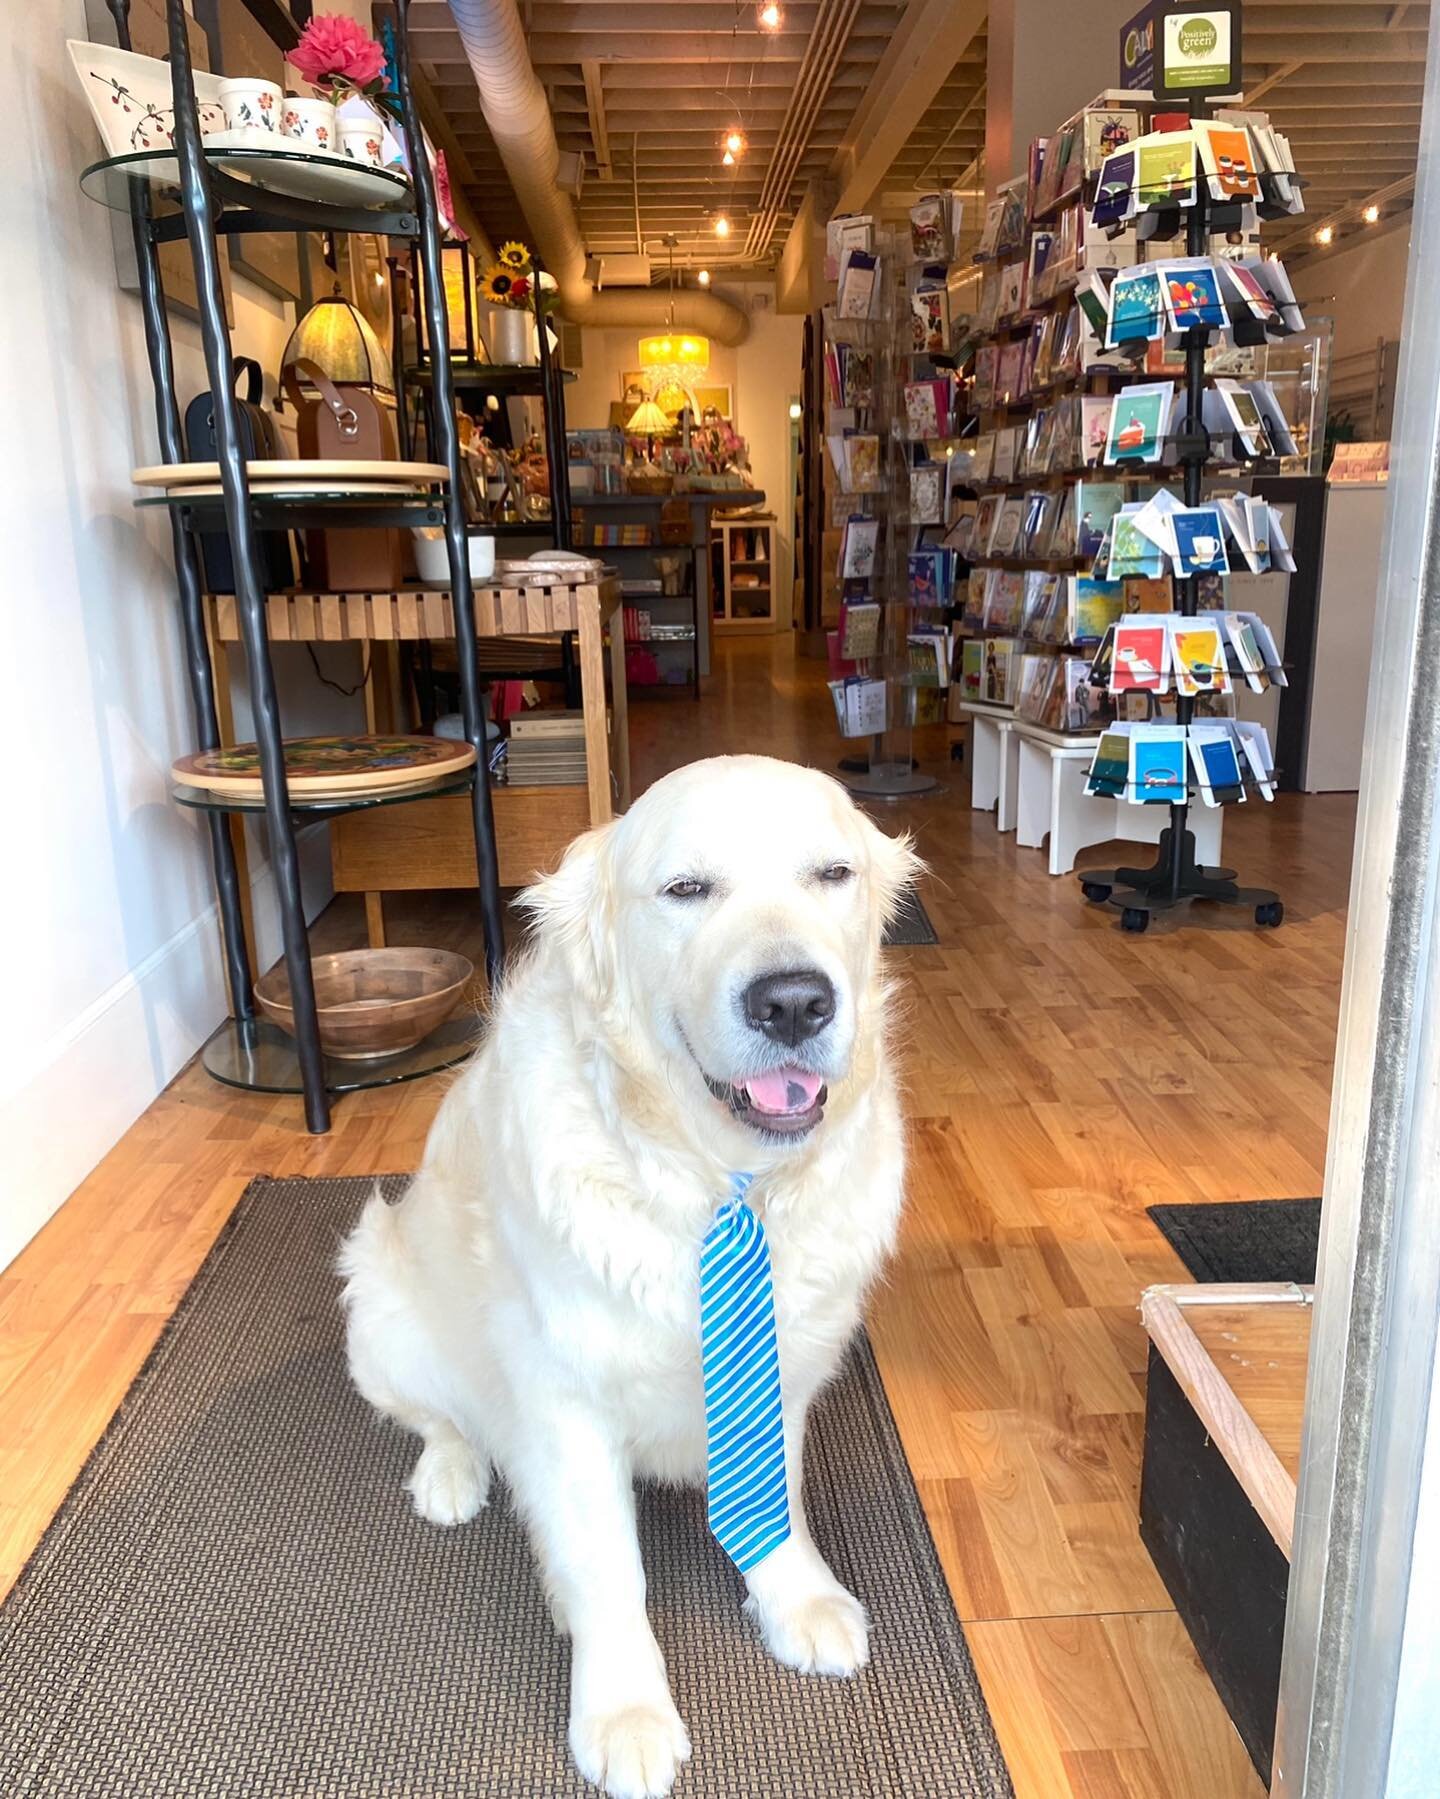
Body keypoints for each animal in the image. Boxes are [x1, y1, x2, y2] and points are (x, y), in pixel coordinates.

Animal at [343, 755, 918, 1799]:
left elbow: (778, 1502)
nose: (793, 1002)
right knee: (441, 1419)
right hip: (378, 1292)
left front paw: (796, 1596)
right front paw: (624, 1709)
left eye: (831, 874)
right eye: (686, 889)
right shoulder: (567, 1401)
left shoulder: (785, 1374)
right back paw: (452, 1475)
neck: (721, 1180)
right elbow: (610, 1568)